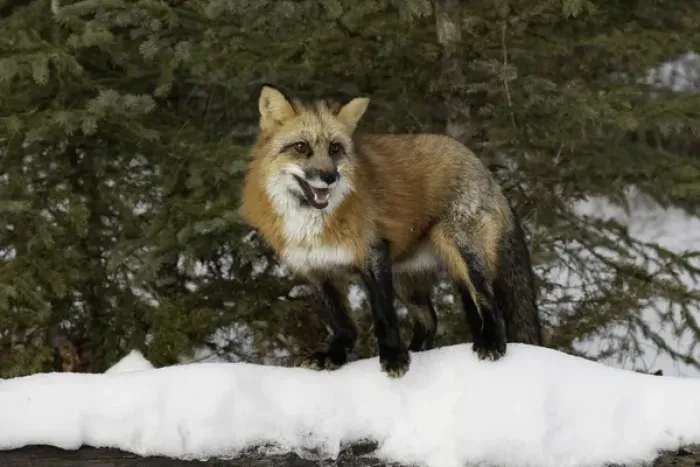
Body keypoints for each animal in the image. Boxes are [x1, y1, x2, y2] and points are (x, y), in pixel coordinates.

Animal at [239, 84, 544, 378]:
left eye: (335, 149)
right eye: (301, 147)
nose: (330, 177)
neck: (310, 225)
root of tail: (482, 166)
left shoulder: (373, 254)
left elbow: (384, 316)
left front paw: (394, 358)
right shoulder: (317, 269)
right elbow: (343, 324)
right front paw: (334, 357)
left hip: (461, 251)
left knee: (487, 301)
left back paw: (490, 342)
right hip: (408, 281)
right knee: (430, 321)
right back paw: (420, 352)